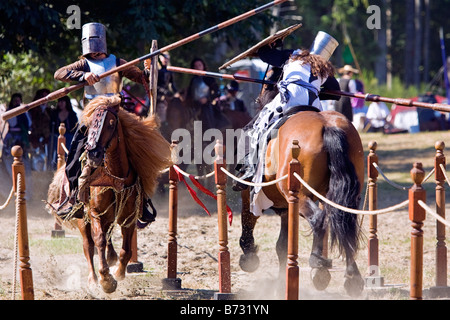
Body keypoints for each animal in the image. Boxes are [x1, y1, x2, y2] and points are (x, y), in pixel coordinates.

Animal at [47, 95, 171, 292]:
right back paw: (92, 279)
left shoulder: (129, 218)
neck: (115, 177)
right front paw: (106, 280)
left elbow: (126, 250)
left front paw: (119, 273)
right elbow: (98, 241)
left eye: (111, 124)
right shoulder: (95, 213)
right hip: (83, 220)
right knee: (88, 246)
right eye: (89, 125)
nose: (93, 154)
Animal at [239, 109, 366, 298]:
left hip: (299, 195)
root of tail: (328, 126)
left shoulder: (251, 195)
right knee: (344, 223)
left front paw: (249, 257)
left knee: (318, 219)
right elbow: (282, 245)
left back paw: (317, 262)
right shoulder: (287, 208)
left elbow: (249, 222)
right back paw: (351, 276)